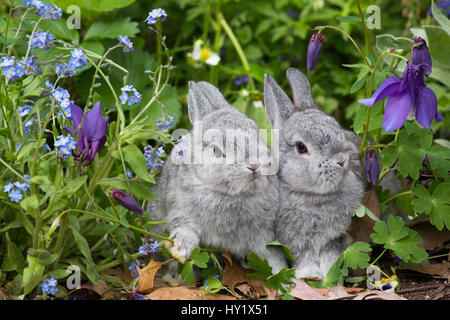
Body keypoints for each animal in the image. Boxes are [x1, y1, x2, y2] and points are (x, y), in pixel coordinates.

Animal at [149, 80, 286, 276]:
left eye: (256, 134)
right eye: (216, 150)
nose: (254, 165)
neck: (229, 194)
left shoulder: (263, 235)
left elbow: (272, 256)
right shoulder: (180, 212)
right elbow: (184, 230)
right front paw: (180, 251)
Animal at [266, 69, 364, 278]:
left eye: (338, 130)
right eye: (301, 147)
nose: (342, 160)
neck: (312, 195)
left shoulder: (333, 237)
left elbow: (330, 254)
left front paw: (330, 273)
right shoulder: (295, 239)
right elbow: (304, 256)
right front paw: (308, 274)